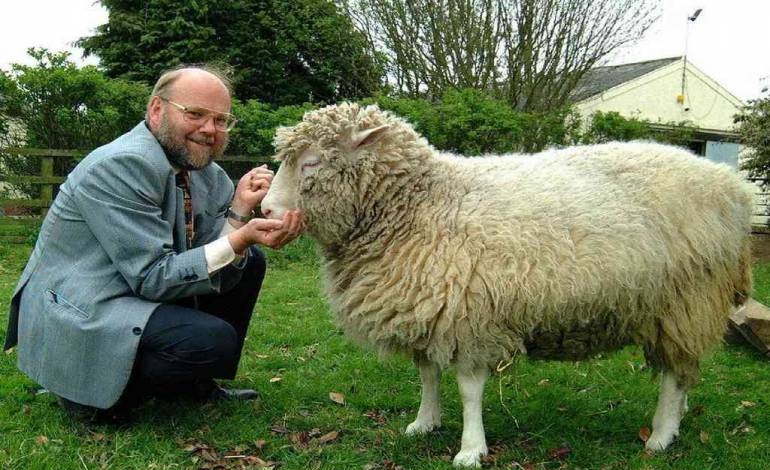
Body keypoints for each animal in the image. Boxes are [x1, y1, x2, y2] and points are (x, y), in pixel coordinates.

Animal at [260, 102, 754, 467]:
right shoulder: (428, 306)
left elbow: (468, 389)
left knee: (673, 374)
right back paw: (679, 417)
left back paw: (661, 434)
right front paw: (425, 422)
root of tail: (733, 187)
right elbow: (427, 374)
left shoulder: (468, 314)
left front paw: (470, 449)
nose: (264, 210)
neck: (419, 204)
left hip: (684, 300)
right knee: (684, 371)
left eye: (311, 162)